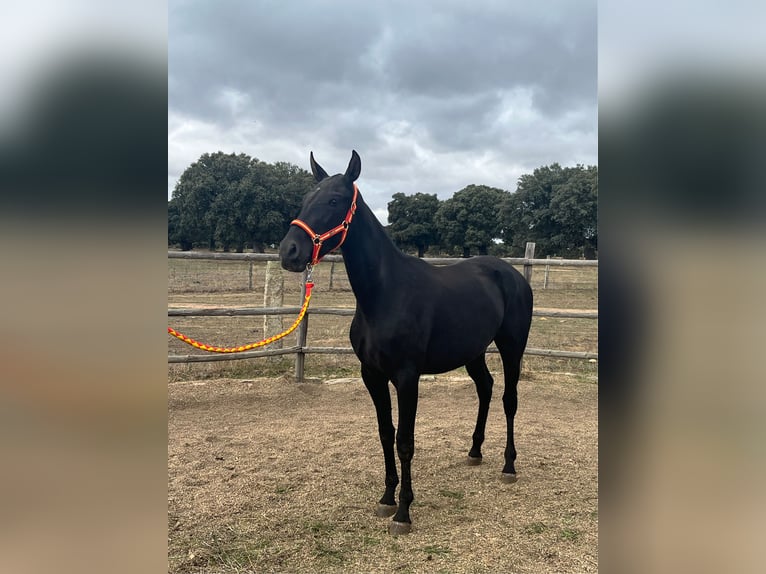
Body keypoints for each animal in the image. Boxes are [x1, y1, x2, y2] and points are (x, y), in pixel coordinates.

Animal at [279, 150, 533, 534]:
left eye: (334, 200)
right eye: (307, 199)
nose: (289, 251)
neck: (385, 294)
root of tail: (513, 274)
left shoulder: (406, 377)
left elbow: (405, 441)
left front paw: (404, 512)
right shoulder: (372, 375)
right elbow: (386, 433)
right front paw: (386, 499)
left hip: (511, 347)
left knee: (509, 399)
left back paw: (508, 465)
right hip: (473, 351)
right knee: (485, 388)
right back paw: (475, 452)